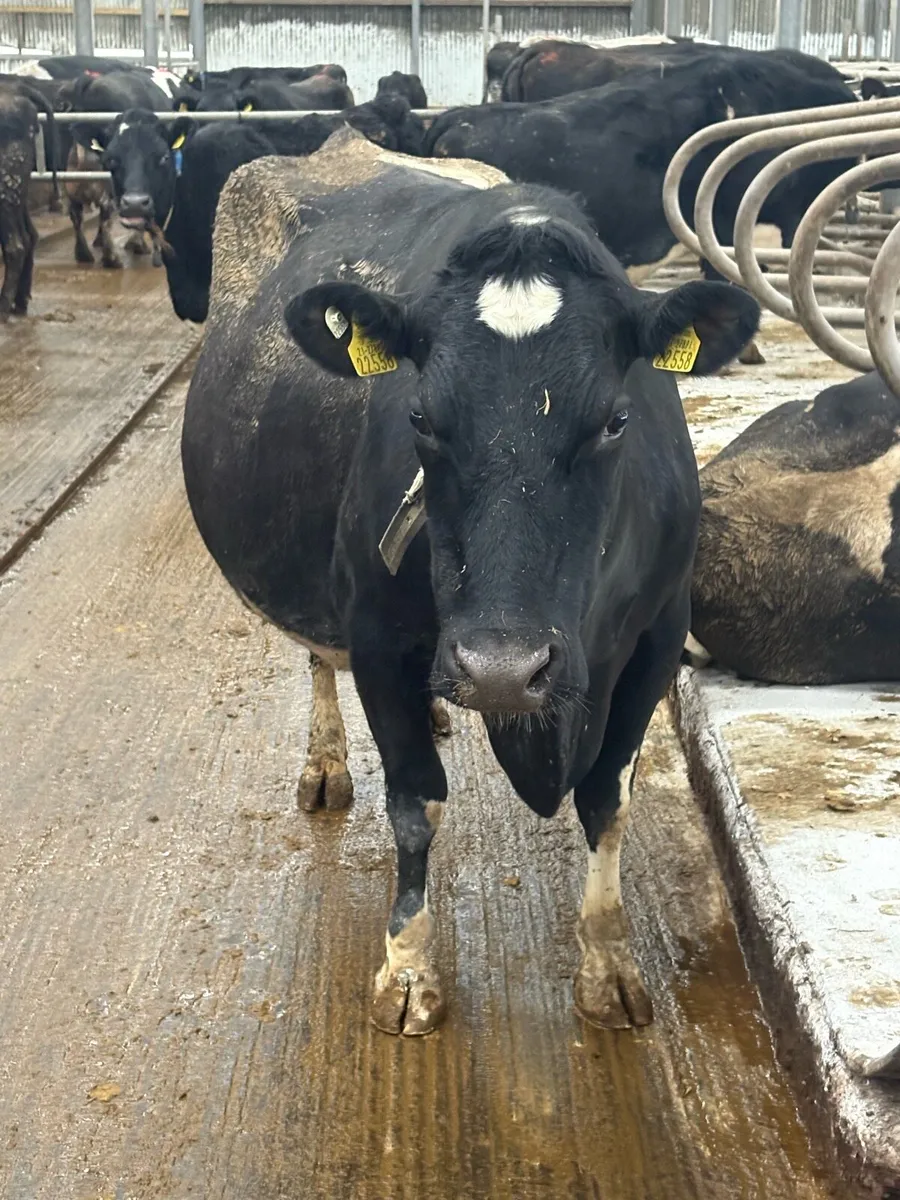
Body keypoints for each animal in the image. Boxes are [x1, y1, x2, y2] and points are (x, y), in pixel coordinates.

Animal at [180, 127, 760, 1035]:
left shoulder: (660, 637)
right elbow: (417, 804)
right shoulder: (379, 635)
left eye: (615, 421)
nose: (500, 669)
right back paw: (327, 762)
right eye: (421, 417)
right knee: (316, 656)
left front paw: (609, 964)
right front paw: (409, 970)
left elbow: (609, 801)